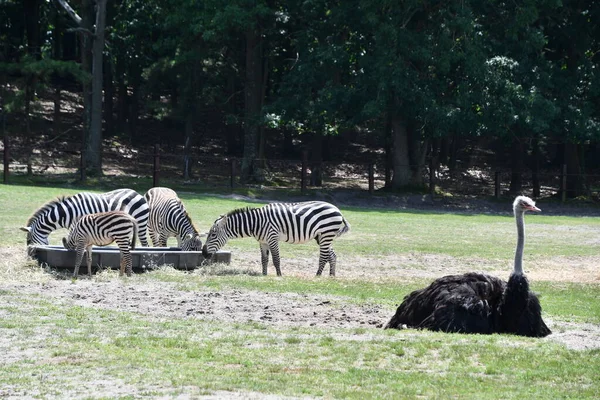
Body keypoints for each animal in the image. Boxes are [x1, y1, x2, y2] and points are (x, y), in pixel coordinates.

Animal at [21, 188, 149, 247]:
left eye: (29, 241)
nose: (30, 257)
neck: (67, 213)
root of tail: (137, 193)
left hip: (141, 223)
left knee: (145, 244)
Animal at [203, 202, 350, 276]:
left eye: (213, 235)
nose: (204, 253)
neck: (256, 223)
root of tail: (338, 210)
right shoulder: (262, 241)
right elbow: (264, 259)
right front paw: (264, 275)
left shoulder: (272, 237)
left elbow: (275, 259)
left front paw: (279, 275)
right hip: (321, 236)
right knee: (332, 255)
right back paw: (331, 276)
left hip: (325, 234)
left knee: (324, 256)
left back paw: (317, 276)